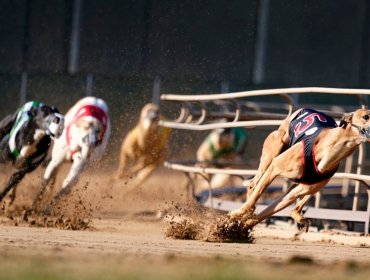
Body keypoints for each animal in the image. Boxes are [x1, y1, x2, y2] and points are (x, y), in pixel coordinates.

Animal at [228, 107, 370, 230]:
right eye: (366, 116)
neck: (330, 151)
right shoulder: (275, 167)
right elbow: (257, 194)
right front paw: (237, 215)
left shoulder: (296, 192)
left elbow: (265, 213)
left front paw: (238, 229)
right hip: (272, 150)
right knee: (254, 183)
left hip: (306, 186)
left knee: (295, 204)